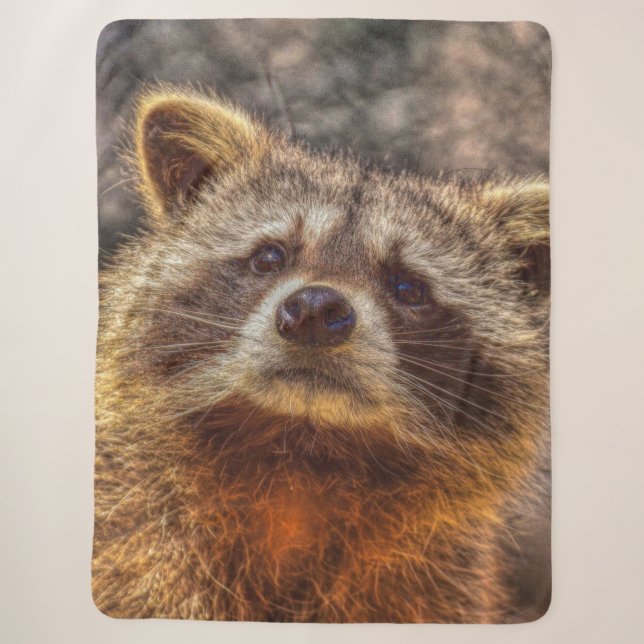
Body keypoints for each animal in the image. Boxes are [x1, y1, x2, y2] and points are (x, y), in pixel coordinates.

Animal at [92, 86, 550, 623]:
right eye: (269, 257)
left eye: (409, 288)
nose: (314, 309)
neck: (303, 459)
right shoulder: (138, 536)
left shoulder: (433, 587)